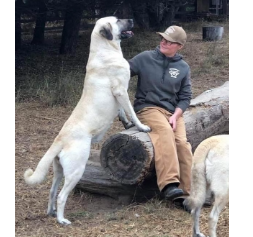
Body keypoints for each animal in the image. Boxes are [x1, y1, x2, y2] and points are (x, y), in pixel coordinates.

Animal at [23, 16, 150, 224]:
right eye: (117, 20)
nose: (131, 19)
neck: (105, 49)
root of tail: (60, 140)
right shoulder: (121, 91)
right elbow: (131, 110)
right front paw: (141, 126)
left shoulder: (119, 96)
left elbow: (122, 111)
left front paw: (127, 123)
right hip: (76, 170)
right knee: (61, 196)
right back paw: (62, 220)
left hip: (59, 171)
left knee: (52, 191)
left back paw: (51, 213)